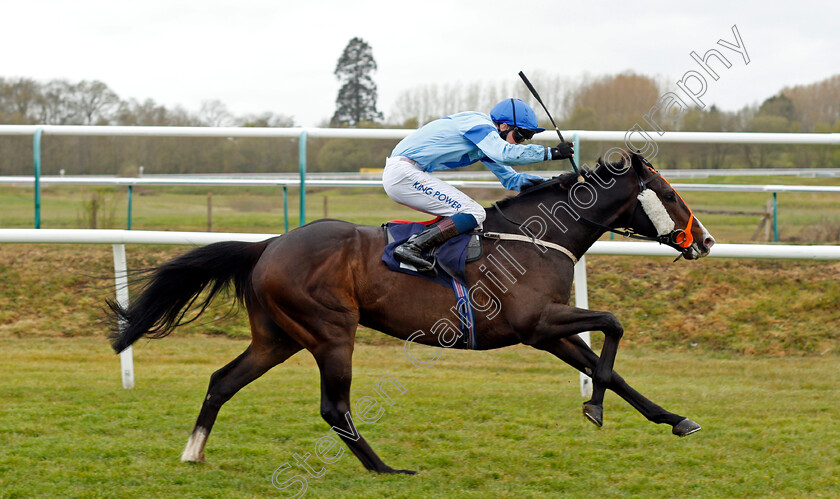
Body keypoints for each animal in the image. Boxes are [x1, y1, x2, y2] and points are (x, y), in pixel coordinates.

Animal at [108, 148, 716, 472]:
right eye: (671, 195)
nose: (705, 241)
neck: (537, 238)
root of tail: (268, 245)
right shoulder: (535, 323)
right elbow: (613, 326)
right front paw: (595, 409)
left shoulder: (546, 330)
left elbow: (605, 368)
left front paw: (670, 418)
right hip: (331, 332)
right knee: (333, 407)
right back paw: (384, 468)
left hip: (277, 337)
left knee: (222, 380)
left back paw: (193, 452)